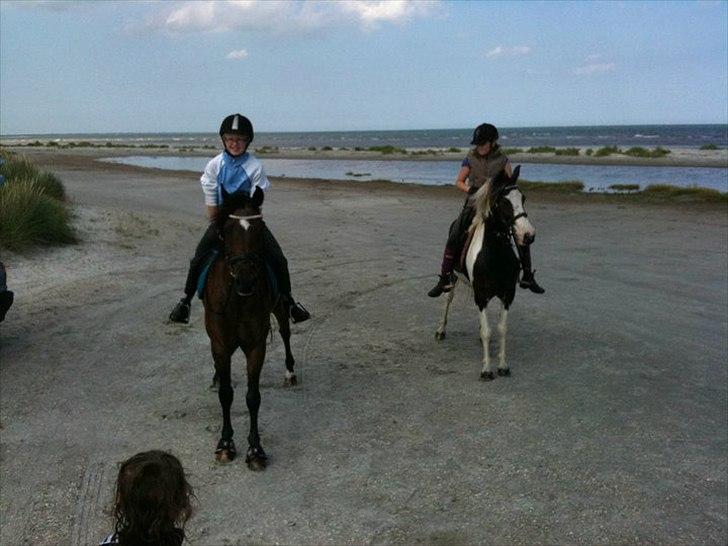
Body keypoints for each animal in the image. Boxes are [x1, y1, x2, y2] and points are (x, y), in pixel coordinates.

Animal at [203, 188, 296, 469]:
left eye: (260, 228)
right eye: (227, 229)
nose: (245, 279)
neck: (238, 299)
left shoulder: (256, 345)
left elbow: (253, 397)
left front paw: (255, 449)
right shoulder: (220, 345)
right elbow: (226, 393)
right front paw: (225, 444)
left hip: (280, 306)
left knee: (286, 332)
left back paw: (290, 372)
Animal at [435, 166, 536, 380]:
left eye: (523, 198)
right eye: (504, 202)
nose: (528, 235)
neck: (494, 254)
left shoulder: (507, 294)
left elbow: (501, 329)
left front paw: (503, 366)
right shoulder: (481, 295)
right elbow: (488, 332)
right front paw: (487, 369)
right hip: (453, 278)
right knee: (447, 300)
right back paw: (440, 330)